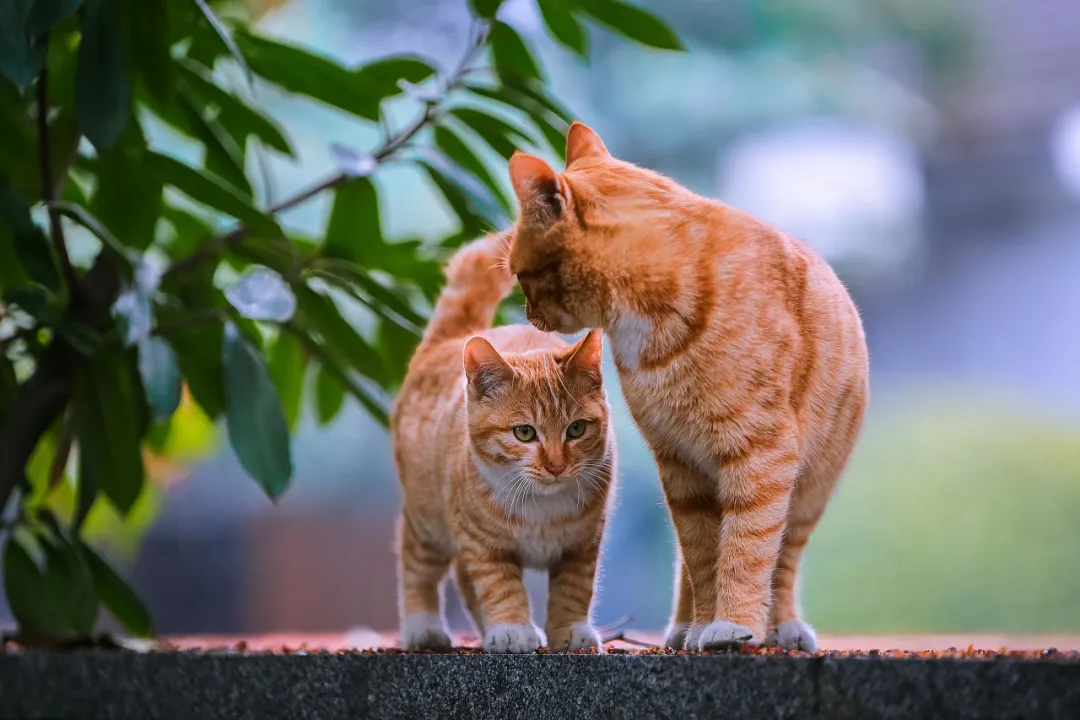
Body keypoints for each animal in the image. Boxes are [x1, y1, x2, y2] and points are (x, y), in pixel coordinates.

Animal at [393, 234, 622, 656]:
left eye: (576, 429)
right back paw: (423, 626)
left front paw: (569, 629)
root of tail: (450, 338)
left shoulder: (583, 543)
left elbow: (573, 588)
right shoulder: (483, 544)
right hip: (427, 515)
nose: (555, 465)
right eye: (525, 433)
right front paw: (512, 627)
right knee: (417, 561)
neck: (542, 507)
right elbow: (499, 585)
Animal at [503, 120, 868, 651]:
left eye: (520, 274)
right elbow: (702, 559)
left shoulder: (761, 454)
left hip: (809, 490)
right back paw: (682, 627)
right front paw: (702, 626)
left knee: (783, 557)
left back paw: (781, 624)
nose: (530, 315)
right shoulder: (679, 464)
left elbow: (747, 549)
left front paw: (734, 623)